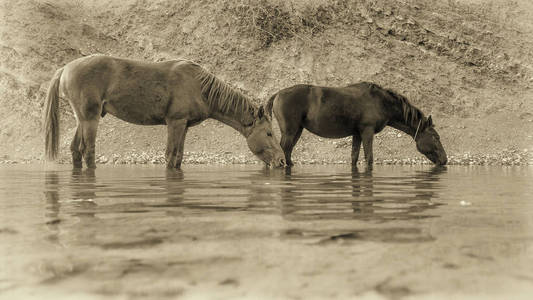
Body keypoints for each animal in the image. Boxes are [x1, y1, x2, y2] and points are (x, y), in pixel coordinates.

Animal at [43, 54, 284, 169]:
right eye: (269, 133)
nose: (282, 162)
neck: (200, 87)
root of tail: (65, 68)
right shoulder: (175, 122)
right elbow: (170, 156)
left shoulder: (184, 126)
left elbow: (178, 157)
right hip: (90, 119)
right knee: (88, 150)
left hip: (81, 120)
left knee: (75, 150)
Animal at [264, 82, 444, 166]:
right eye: (436, 137)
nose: (444, 160)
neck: (380, 102)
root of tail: (278, 94)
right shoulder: (367, 132)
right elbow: (369, 158)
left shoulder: (357, 134)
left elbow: (354, 157)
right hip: (290, 131)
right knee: (282, 151)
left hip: (297, 131)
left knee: (287, 153)